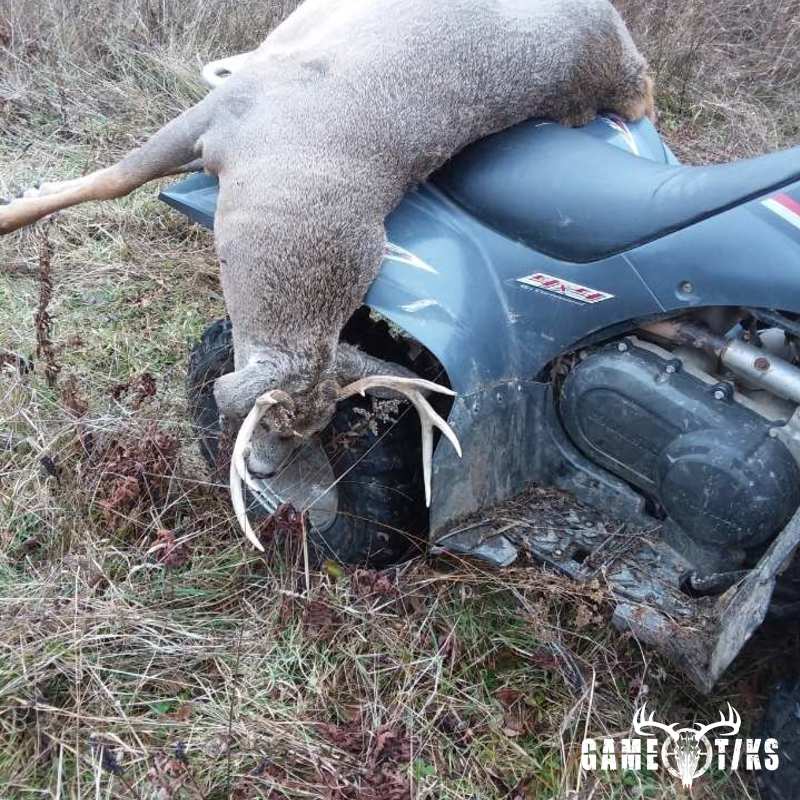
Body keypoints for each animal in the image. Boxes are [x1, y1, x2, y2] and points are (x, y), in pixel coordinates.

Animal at [0, 0, 655, 549]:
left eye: (309, 433)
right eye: (269, 420)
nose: (261, 470)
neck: (290, 182)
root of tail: (628, 60)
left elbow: (115, 178)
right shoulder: (228, 114)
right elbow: (114, 179)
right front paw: (16, 208)